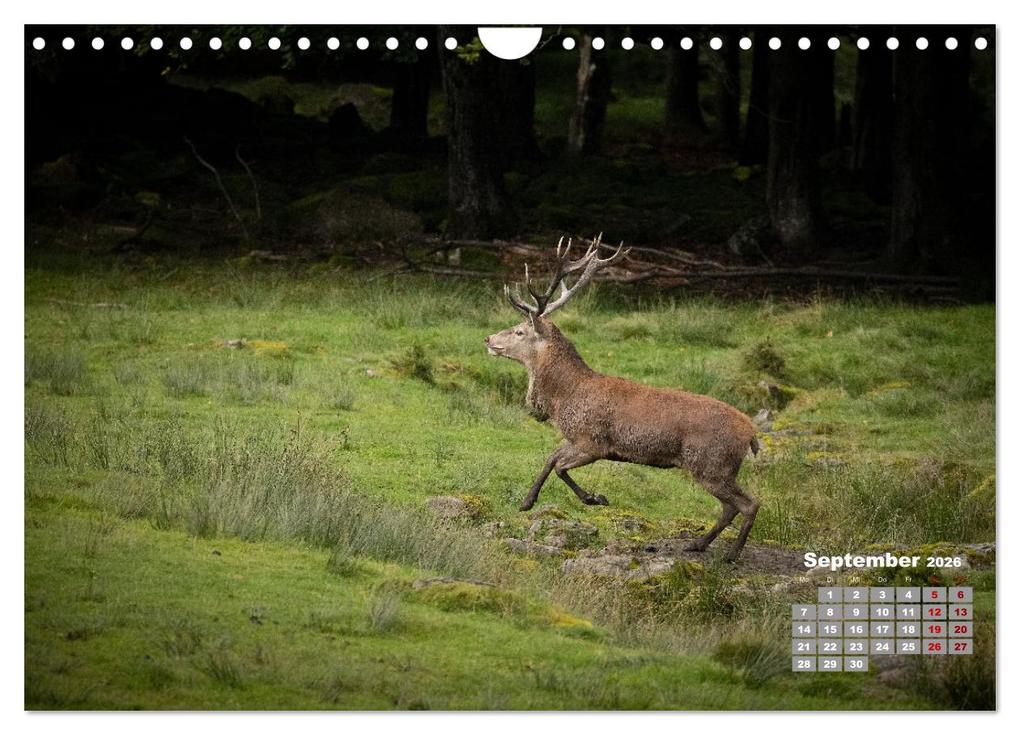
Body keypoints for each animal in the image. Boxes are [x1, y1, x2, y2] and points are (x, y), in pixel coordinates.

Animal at [485, 235, 761, 562]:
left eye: (519, 331)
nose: (488, 339)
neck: (563, 399)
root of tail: (751, 434)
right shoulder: (574, 438)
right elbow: (550, 458)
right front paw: (527, 502)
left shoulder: (594, 441)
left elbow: (560, 466)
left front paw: (595, 498)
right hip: (719, 468)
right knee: (731, 506)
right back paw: (698, 543)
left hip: (711, 464)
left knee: (748, 503)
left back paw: (730, 554)